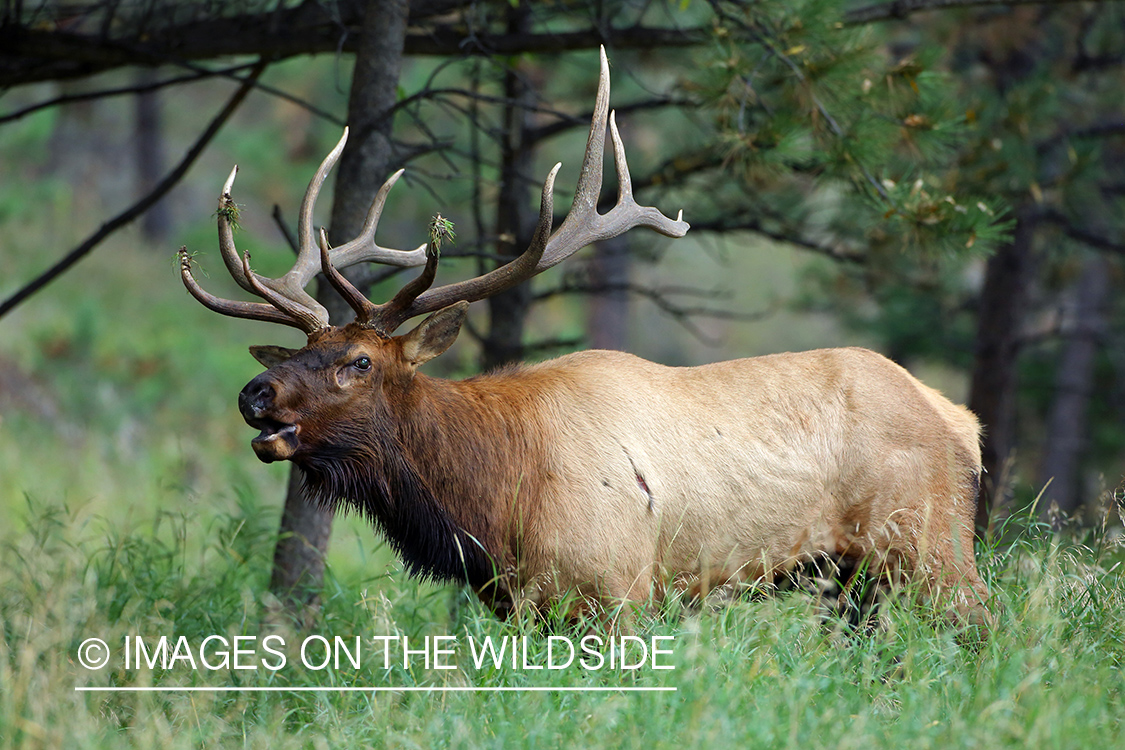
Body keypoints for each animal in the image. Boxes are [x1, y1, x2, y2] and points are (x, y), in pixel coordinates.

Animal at [180, 48, 990, 629]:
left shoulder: (617, 590)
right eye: (295, 355)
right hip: (855, 579)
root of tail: (960, 421)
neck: (488, 506)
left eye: (358, 361)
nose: (255, 393)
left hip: (930, 547)